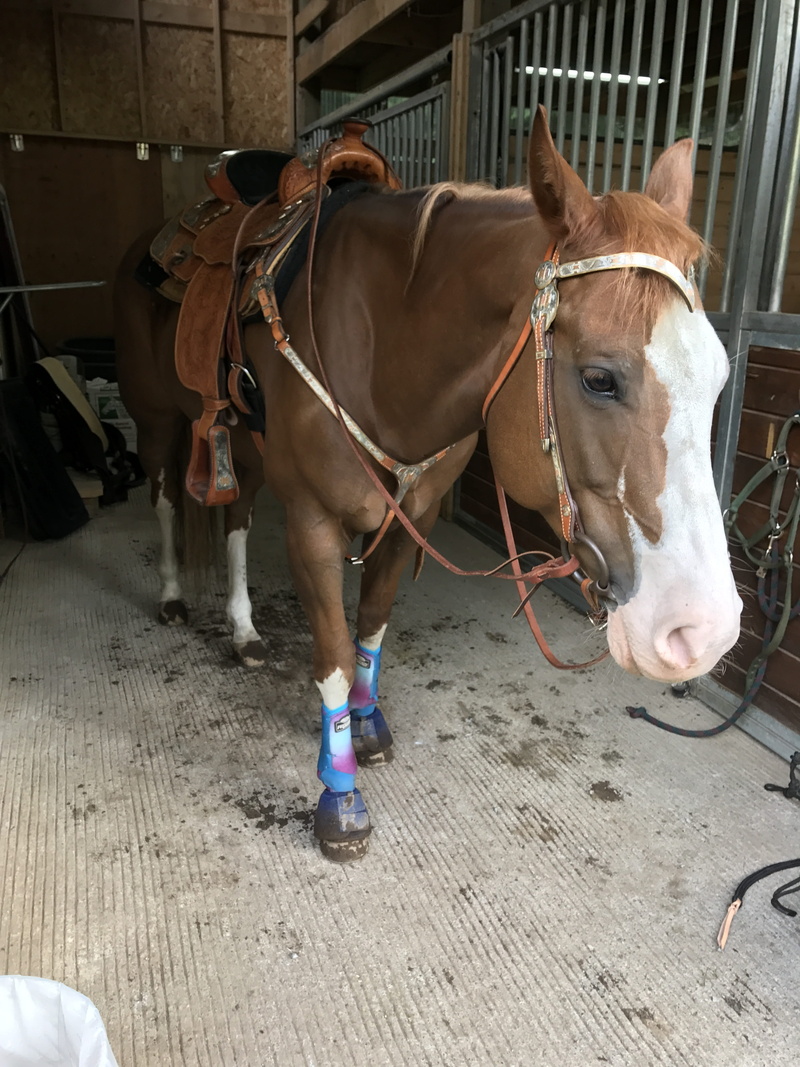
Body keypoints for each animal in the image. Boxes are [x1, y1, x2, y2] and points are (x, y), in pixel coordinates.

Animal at [114, 108, 742, 861]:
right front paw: (340, 797)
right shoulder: (313, 524)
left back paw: (244, 631)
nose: (702, 633)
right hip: (156, 419)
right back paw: (173, 596)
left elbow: (372, 626)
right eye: (599, 378)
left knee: (235, 517)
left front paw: (368, 726)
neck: (380, 344)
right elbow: (332, 653)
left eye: (719, 377)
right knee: (163, 496)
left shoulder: (407, 512)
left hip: (245, 445)